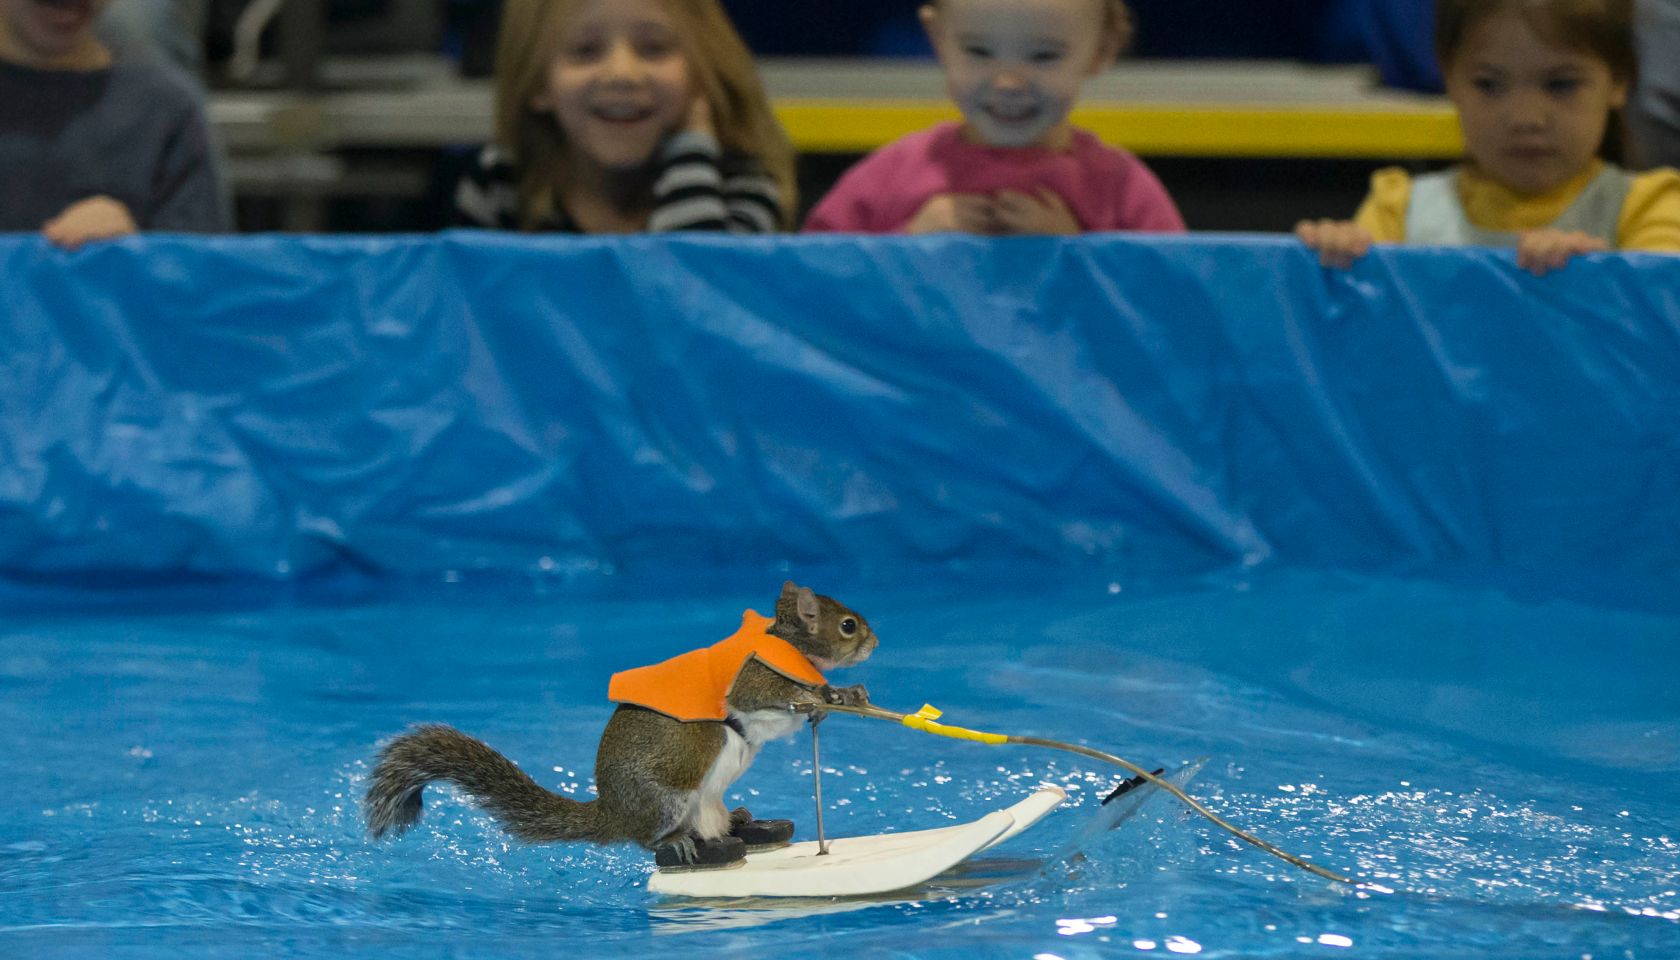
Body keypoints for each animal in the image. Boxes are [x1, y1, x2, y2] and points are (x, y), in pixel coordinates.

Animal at [363, 581, 876, 866]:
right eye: (848, 625)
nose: (874, 643)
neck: (787, 642)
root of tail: (613, 813)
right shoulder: (751, 682)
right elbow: (766, 701)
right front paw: (818, 696)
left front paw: (844, 695)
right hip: (674, 785)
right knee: (648, 838)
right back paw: (679, 842)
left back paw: (741, 821)